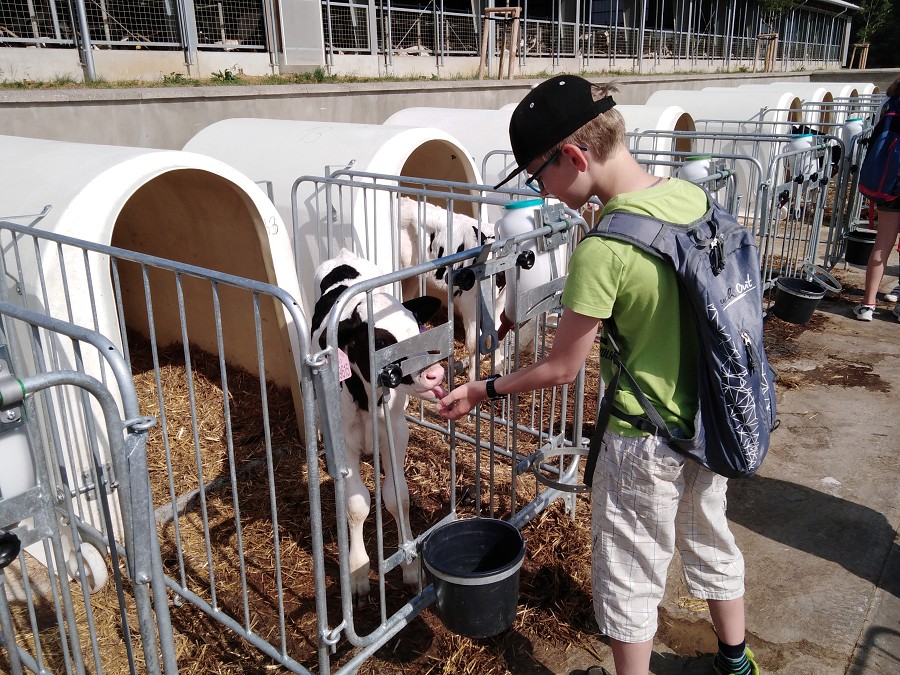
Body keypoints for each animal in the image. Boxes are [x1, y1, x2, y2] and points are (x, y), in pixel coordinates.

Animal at [312, 248, 446, 604]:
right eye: (381, 343)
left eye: (417, 330)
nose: (435, 373)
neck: (366, 400)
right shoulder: (345, 440)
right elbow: (357, 503)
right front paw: (358, 573)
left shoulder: (395, 430)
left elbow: (397, 495)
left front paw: (410, 567)